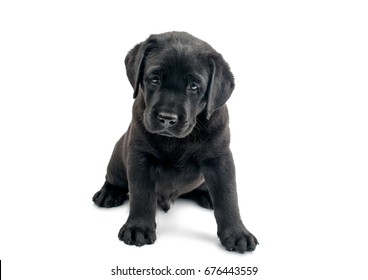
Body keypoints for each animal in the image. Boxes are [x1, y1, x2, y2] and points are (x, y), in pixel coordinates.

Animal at [92, 31, 258, 254]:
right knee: (115, 178)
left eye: (194, 87)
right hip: (118, 156)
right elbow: (141, 195)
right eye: (155, 79)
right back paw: (109, 193)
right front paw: (138, 228)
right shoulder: (140, 156)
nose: (167, 118)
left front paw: (237, 233)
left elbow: (228, 196)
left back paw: (207, 195)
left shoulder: (220, 158)